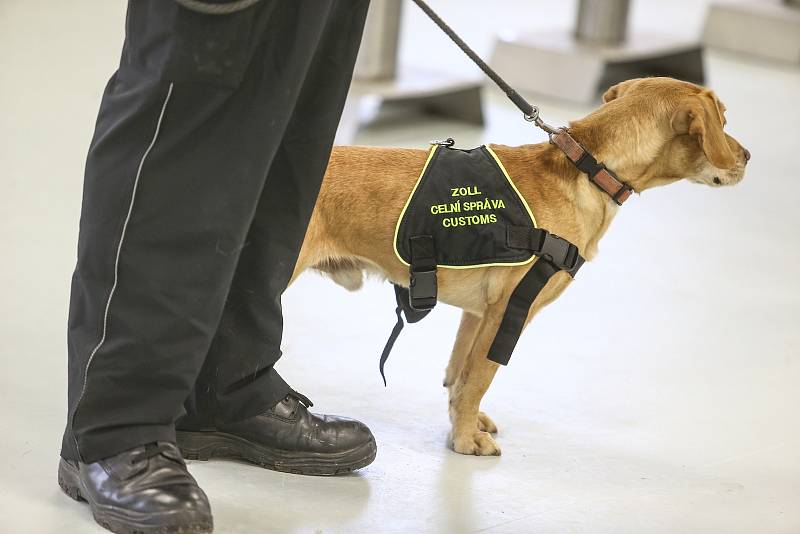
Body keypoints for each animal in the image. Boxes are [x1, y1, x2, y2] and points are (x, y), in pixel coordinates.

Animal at [290, 77, 752, 458]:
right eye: (723, 119)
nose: (747, 155)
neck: (588, 171)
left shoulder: (477, 314)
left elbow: (460, 376)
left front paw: (464, 423)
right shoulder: (510, 309)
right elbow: (480, 376)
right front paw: (465, 440)